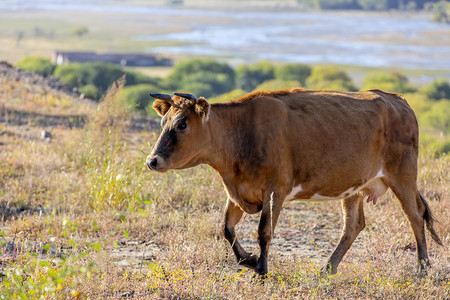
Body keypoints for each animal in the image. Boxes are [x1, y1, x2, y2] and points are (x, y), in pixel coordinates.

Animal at [146, 88, 442, 276]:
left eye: (182, 124)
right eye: (163, 122)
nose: (152, 161)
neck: (242, 132)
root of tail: (397, 100)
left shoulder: (275, 190)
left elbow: (264, 232)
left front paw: (261, 271)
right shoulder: (237, 194)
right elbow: (226, 229)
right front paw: (249, 260)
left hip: (402, 175)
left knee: (415, 216)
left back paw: (422, 268)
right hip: (355, 188)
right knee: (353, 226)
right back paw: (327, 269)